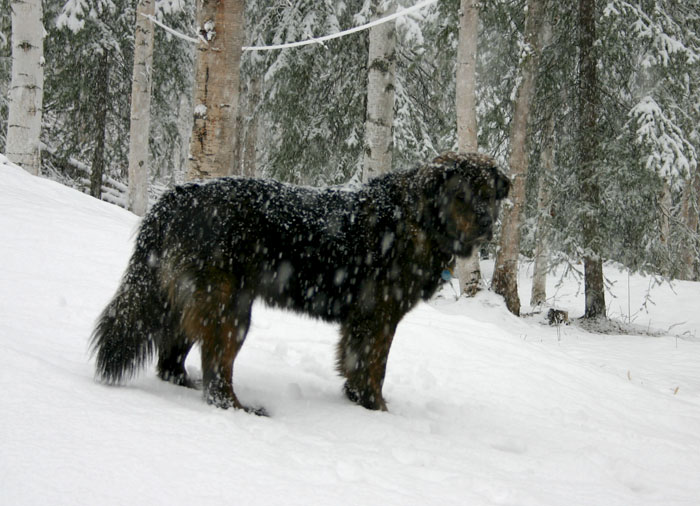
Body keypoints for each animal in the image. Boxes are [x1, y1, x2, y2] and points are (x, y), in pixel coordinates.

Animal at [91, 152, 510, 413]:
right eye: (460, 195)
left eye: (489, 195)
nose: (487, 223)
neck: (418, 219)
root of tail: (174, 199)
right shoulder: (379, 315)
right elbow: (374, 367)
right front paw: (376, 409)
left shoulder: (362, 320)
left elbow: (355, 364)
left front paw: (356, 400)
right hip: (229, 309)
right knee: (216, 372)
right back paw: (240, 409)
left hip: (188, 300)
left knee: (171, 357)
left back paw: (184, 383)